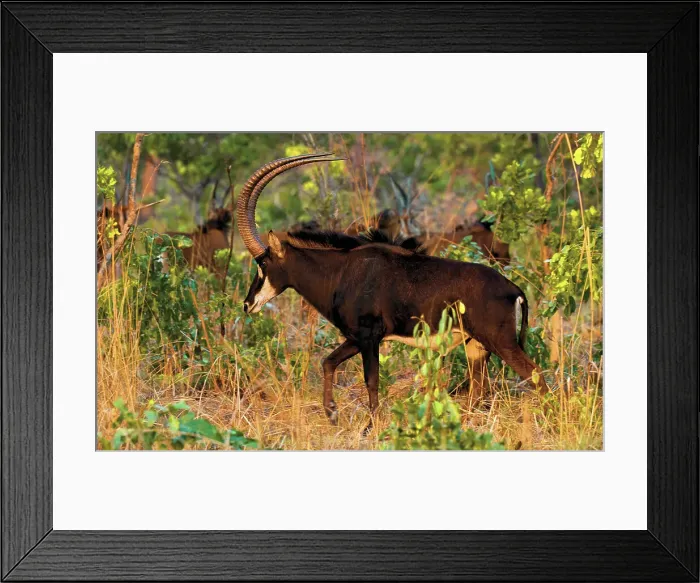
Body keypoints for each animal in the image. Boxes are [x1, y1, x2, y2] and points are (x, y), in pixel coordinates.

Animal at [238, 154, 548, 431]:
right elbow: (328, 362)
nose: (247, 304)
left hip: (500, 342)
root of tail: (513, 288)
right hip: (475, 347)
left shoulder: (368, 335)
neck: (340, 271)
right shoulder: (357, 337)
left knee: (536, 377)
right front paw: (332, 414)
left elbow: (371, 380)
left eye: (262, 264)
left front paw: (370, 427)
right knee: (478, 391)